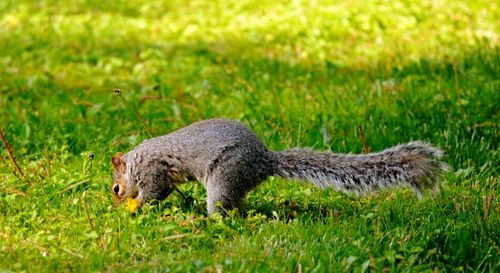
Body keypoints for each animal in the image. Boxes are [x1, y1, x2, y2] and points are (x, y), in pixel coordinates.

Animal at [111, 118, 448, 214]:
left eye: (115, 188)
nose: (116, 200)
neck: (134, 162)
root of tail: (265, 160)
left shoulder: (151, 170)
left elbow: (152, 192)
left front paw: (134, 205)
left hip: (225, 175)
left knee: (222, 208)